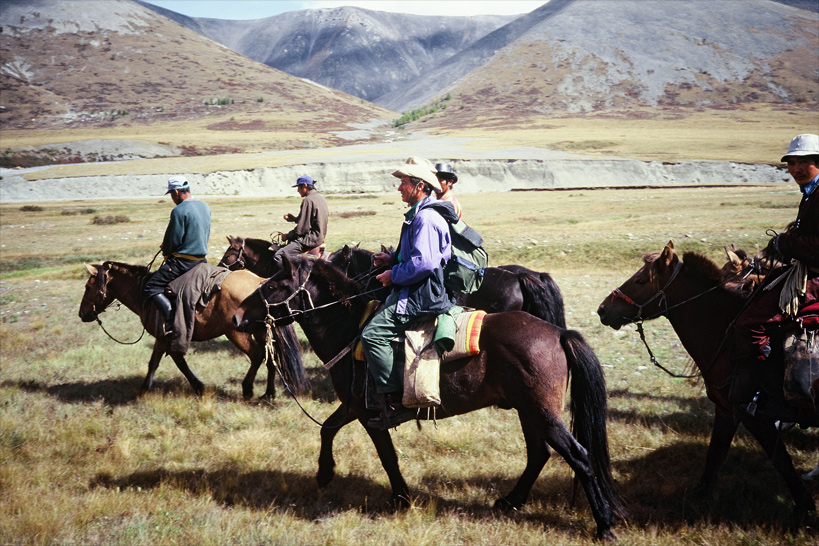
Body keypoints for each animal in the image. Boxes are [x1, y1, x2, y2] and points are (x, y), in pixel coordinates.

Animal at [78, 261, 307, 399]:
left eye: (88, 287)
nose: (82, 314)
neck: (145, 295)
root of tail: (259, 282)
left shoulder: (164, 337)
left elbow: (165, 362)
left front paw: (145, 389)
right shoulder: (167, 338)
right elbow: (167, 361)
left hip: (237, 333)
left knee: (257, 355)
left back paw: (248, 388)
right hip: (260, 331)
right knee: (270, 357)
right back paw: (268, 393)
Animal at [232, 255, 625, 541]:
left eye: (274, 285)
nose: (236, 316)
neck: (349, 329)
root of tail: (558, 333)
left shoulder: (369, 414)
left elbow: (387, 456)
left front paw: (401, 498)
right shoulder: (352, 405)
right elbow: (327, 428)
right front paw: (325, 473)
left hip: (542, 412)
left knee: (579, 456)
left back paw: (604, 525)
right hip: (528, 411)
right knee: (539, 454)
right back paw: (510, 502)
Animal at [596, 240, 818, 520]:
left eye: (640, 280)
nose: (602, 309)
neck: (728, 339)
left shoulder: (754, 417)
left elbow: (782, 461)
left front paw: (806, 508)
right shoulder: (726, 410)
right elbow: (714, 455)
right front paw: (699, 496)